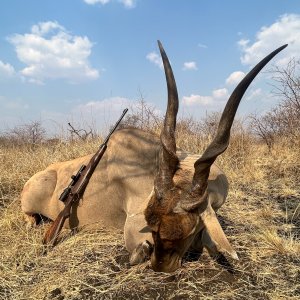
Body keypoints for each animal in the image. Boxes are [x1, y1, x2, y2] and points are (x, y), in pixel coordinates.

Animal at [19, 41, 288, 274]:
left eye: (186, 232)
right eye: (155, 230)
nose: (161, 267)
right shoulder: (134, 223)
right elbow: (140, 249)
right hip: (29, 208)